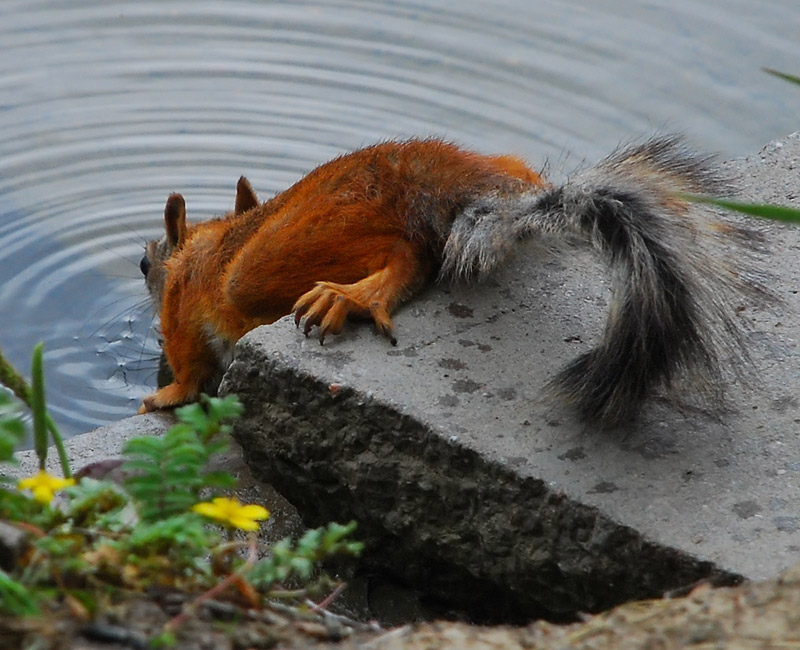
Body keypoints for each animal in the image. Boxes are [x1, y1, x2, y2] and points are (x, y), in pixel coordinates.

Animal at [139, 137, 764, 426]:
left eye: (146, 266)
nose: (144, 268)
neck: (208, 243)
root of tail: (447, 184)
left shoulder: (183, 309)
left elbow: (189, 365)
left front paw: (164, 395)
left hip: (277, 259)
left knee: (408, 256)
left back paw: (353, 295)